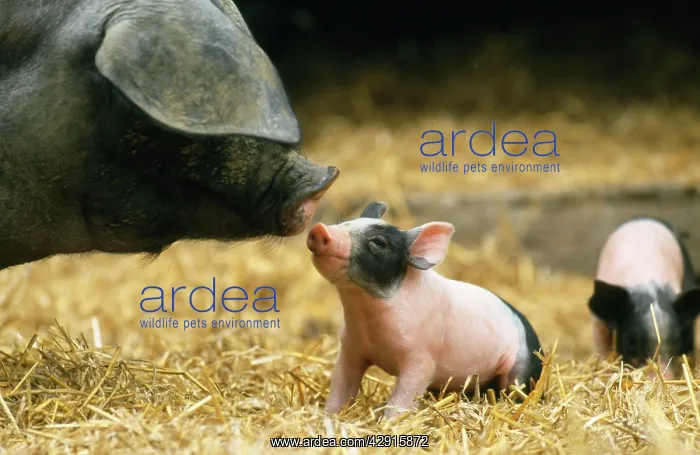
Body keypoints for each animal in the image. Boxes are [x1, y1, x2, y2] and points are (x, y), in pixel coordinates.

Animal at [307, 201, 543, 419]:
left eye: (379, 242)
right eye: (342, 222)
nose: (319, 229)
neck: (366, 316)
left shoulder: (421, 356)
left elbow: (403, 396)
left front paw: (388, 423)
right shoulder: (351, 347)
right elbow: (341, 383)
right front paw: (327, 416)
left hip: (521, 365)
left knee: (517, 389)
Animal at [588, 217, 700, 378]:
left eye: (677, 340)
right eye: (631, 342)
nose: (662, 378)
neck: (647, 285)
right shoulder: (598, 321)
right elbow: (602, 349)